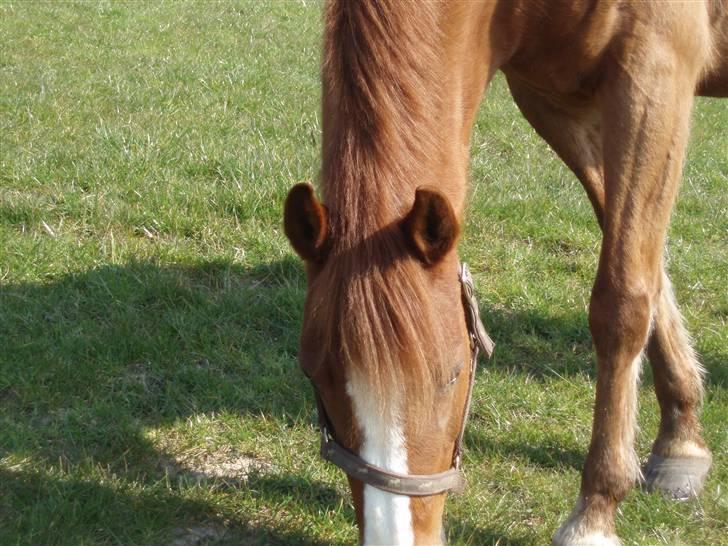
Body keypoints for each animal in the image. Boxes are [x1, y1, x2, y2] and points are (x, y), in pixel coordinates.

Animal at [283, 1, 727, 544]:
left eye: (452, 375)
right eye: (313, 374)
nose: (397, 536)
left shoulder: (656, 71)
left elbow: (623, 300)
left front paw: (595, 513)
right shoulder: (552, 99)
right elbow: (645, 264)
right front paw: (681, 438)